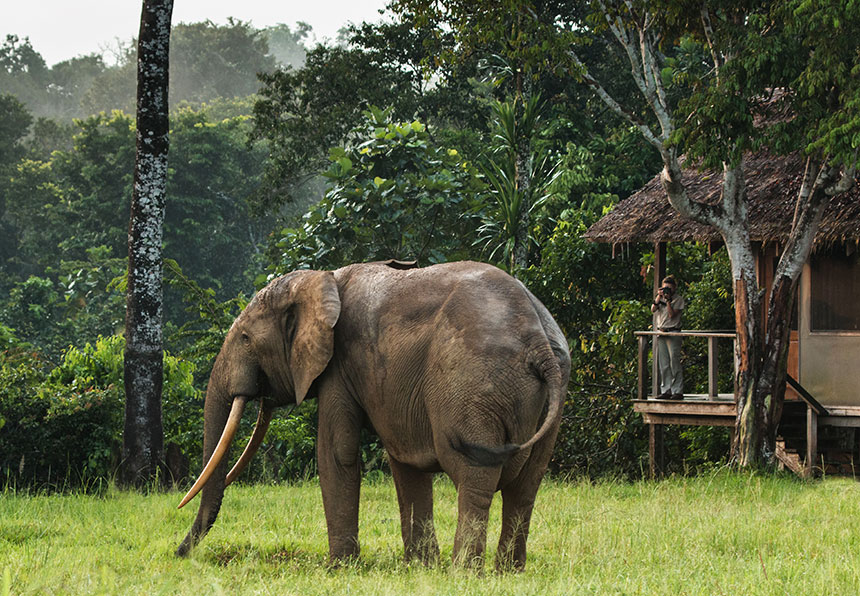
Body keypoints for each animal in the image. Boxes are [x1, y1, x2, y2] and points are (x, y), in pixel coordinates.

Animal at [175, 260, 572, 568]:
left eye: (244, 338)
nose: (178, 553)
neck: (323, 280)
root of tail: (538, 343)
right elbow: (405, 462)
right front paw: (420, 568)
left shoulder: (339, 365)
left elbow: (336, 453)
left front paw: (338, 568)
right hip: (548, 390)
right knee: (526, 486)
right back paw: (507, 572)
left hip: (472, 386)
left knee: (474, 476)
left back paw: (464, 574)